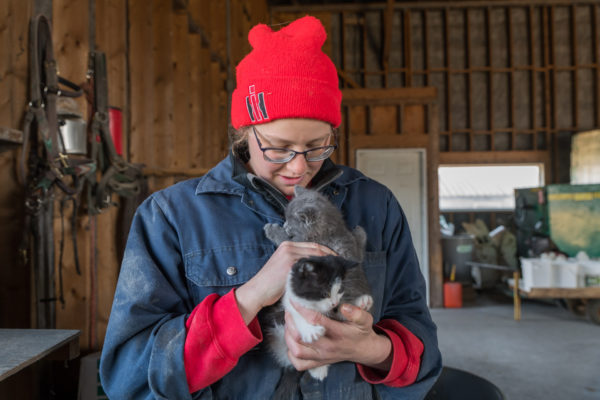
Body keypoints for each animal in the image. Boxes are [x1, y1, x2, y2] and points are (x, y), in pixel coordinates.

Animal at [262, 186, 370, 382]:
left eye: (291, 222)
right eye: (285, 217)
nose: (285, 225)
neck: (332, 229)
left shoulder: (302, 244)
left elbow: (285, 240)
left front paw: (273, 230)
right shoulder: (354, 246)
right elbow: (359, 242)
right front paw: (359, 230)